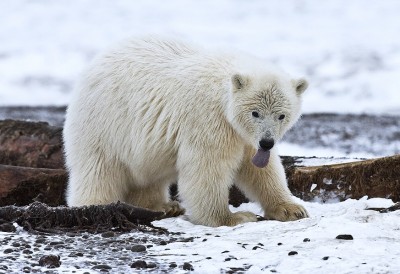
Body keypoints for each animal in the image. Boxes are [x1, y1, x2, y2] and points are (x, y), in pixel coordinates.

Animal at [64, 36, 310, 227]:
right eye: (255, 113)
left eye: (281, 115)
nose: (267, 142)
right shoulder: (209, 119)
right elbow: (207, 168)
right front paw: (233, 217)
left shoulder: (244, 136)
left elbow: (260, 168)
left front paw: (292, 209)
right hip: (104, 126)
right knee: (99, 171)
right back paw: (95, 207)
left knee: (148, 176)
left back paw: (164, 206)